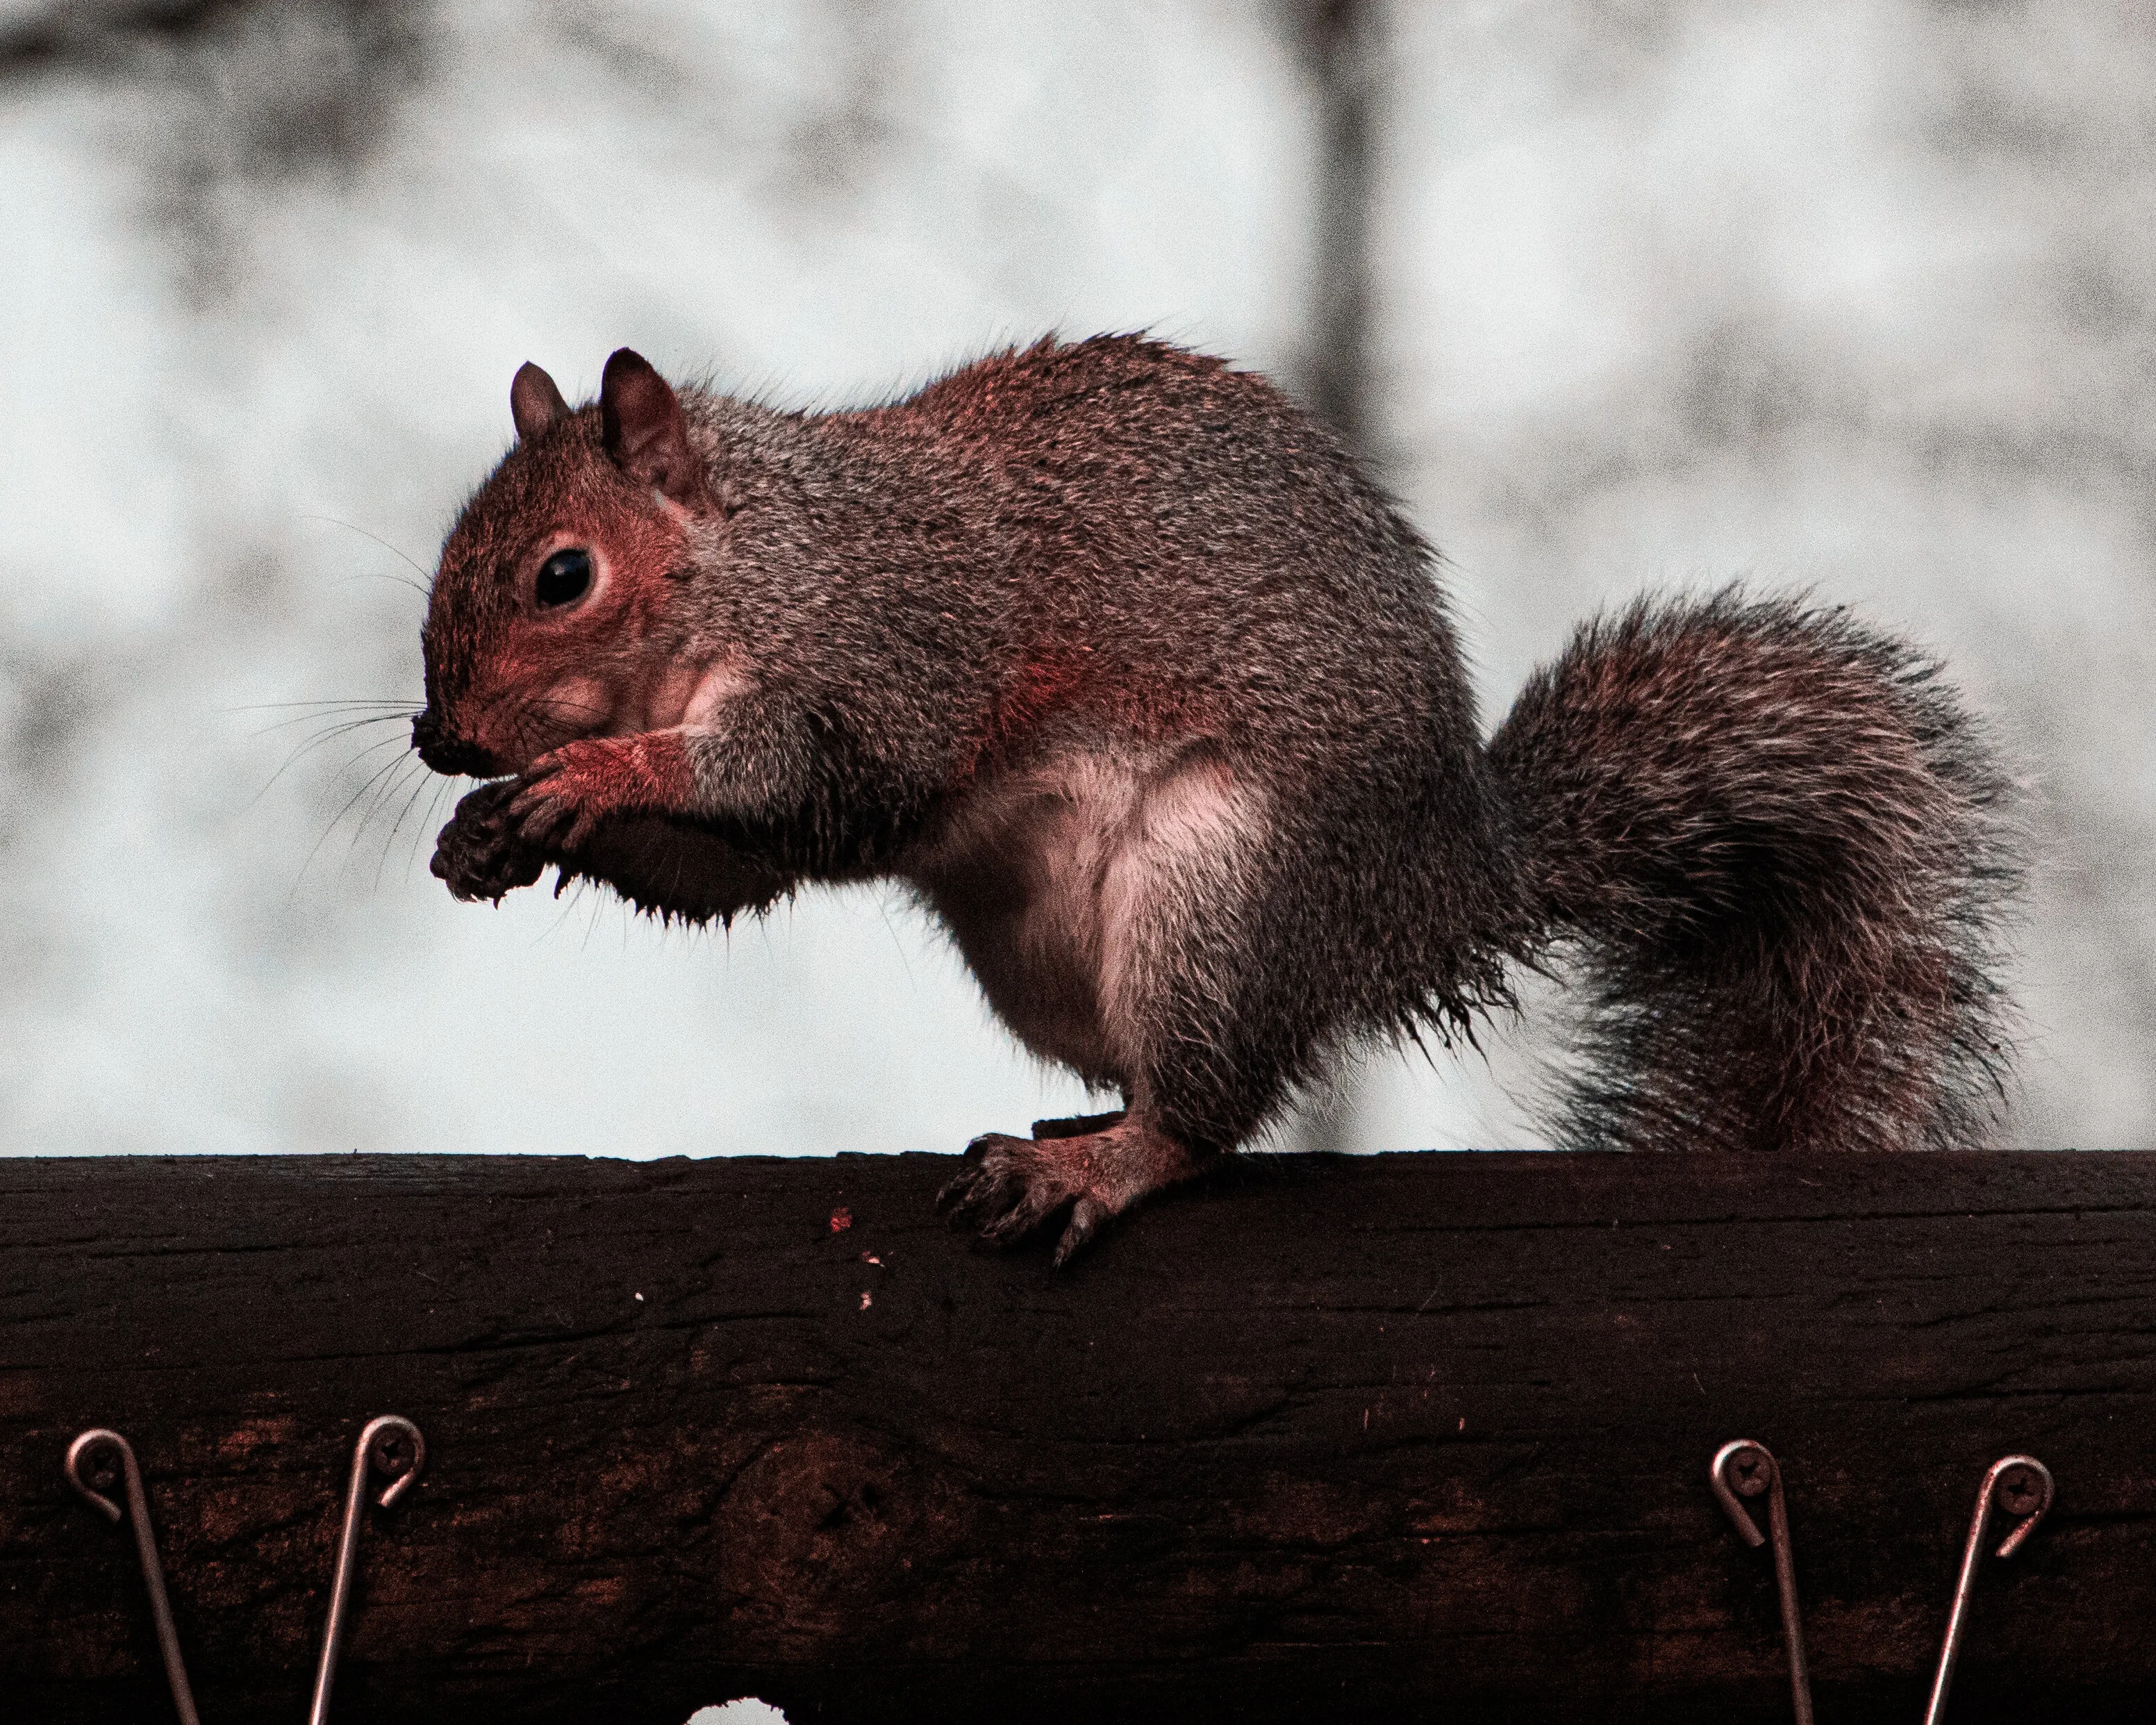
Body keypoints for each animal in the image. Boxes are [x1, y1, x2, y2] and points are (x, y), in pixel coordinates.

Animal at [415, 335, 2019, 1262]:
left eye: (563, 575)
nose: (439, 738)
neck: (765, 556)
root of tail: (1440, 888)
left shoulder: (890, 658)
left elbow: (793, 776)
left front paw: (587, 775)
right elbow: (731, 868)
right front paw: (496, 830)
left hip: (1219, 887)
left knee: (1213, 1111)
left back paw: (1102, 1165)